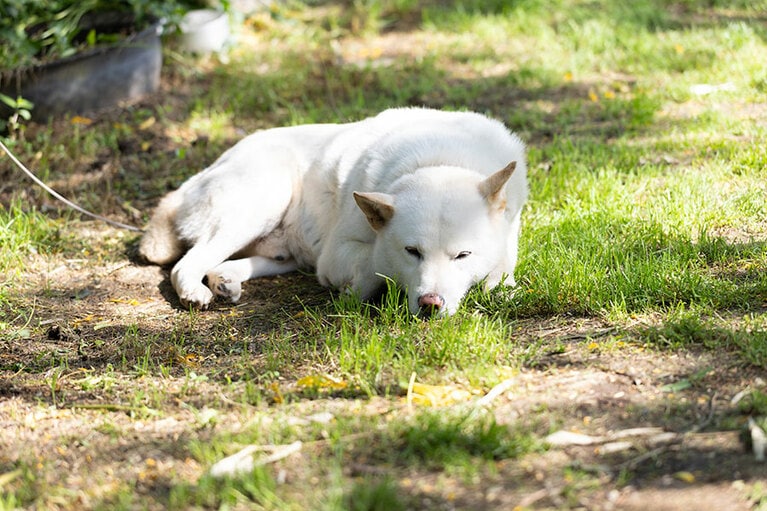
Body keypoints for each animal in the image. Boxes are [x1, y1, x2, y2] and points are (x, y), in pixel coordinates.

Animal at [141, 108, 528, 316]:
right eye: (412, 252)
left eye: (463, 255)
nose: (431, 303)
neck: (439, 156)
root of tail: (198, 175)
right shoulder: (336, 254)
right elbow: (372, 267)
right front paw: (354, 290)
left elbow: (500, 274)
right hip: (262, 201)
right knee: (185, 264)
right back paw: (195, 290)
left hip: (285, 252)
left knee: (229, 261)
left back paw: (225, 280)